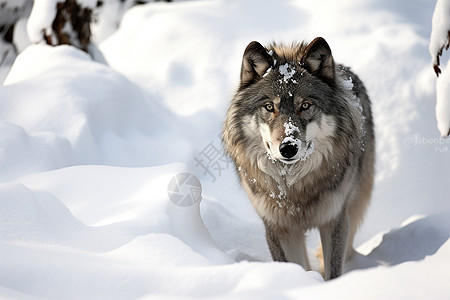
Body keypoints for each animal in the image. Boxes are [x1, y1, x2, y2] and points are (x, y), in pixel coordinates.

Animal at [223, 37, 374, 278]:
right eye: (269, 107)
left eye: (305, 106)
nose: (288, 148)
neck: (295, 188)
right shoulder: (279, 228)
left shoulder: (334, 219)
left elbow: (333, 271)